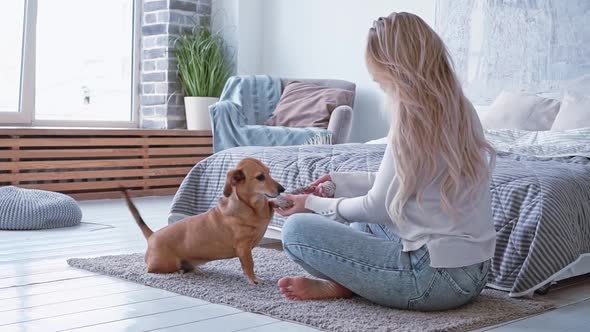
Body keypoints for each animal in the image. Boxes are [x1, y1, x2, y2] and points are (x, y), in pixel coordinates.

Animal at [122, 158, 284, 282]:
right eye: (260, 177)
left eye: (269, 172)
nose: (282, 189)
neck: (251, 207)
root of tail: (152, 235)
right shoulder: (243, 248)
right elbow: (249, 265)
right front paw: (254, 280)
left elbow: (271, 205)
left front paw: (281, 202)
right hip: (166, 264)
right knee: (154, 270)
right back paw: (178, 271)